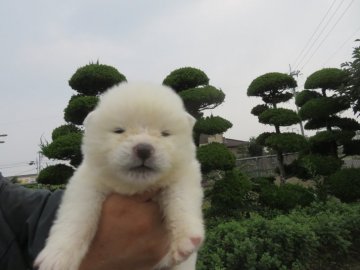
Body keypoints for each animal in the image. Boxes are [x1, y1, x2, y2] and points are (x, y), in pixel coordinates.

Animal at [36, 83, 205, 270]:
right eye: (119, 130)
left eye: (165, 133)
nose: (144, 149)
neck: (134, 188)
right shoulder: (87, 184)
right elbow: (77, 217)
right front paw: (56, 257)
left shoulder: (184, 175)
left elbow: (180, 200)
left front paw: (186, 240)